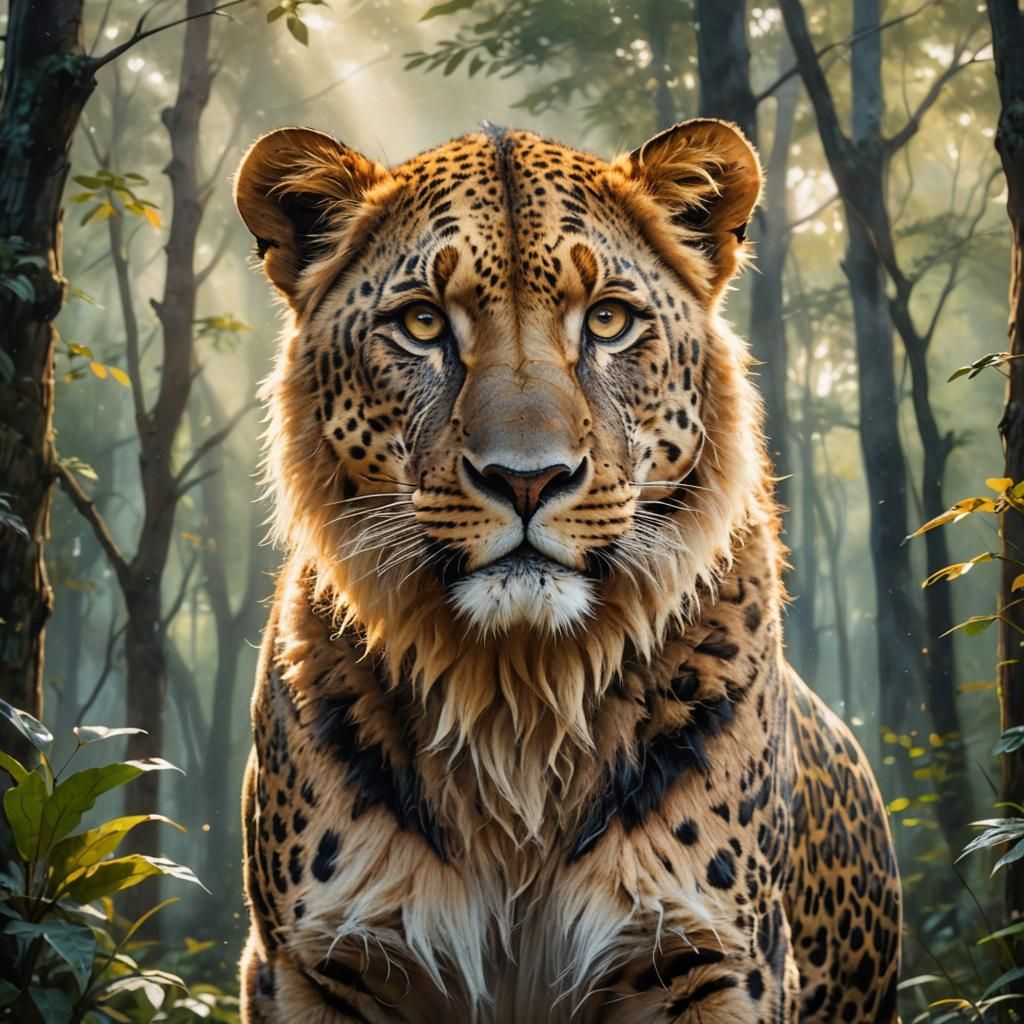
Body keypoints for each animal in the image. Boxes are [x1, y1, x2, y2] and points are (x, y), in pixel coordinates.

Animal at [233, 117, 901, 1023]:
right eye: (422, 324)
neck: (517, 696)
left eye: (609, 320)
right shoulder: (313, 961)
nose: (527, 479)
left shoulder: (719, 958)